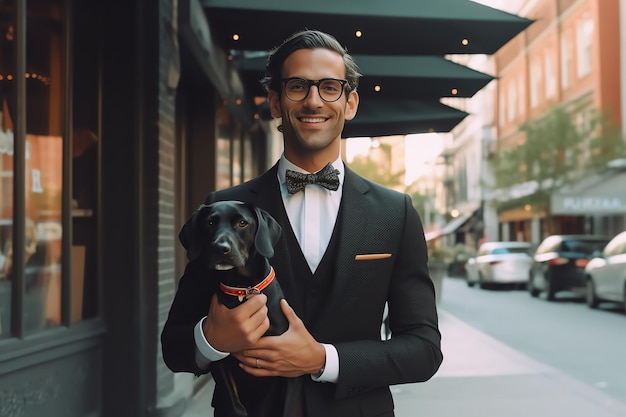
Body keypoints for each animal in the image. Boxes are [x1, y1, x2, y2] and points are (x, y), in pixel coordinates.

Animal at [179, 200, 288, 414]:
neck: (243, 288)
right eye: (210, 222)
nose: (220, 248)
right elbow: (233, 403)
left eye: (242, 223)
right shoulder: (219, 354)